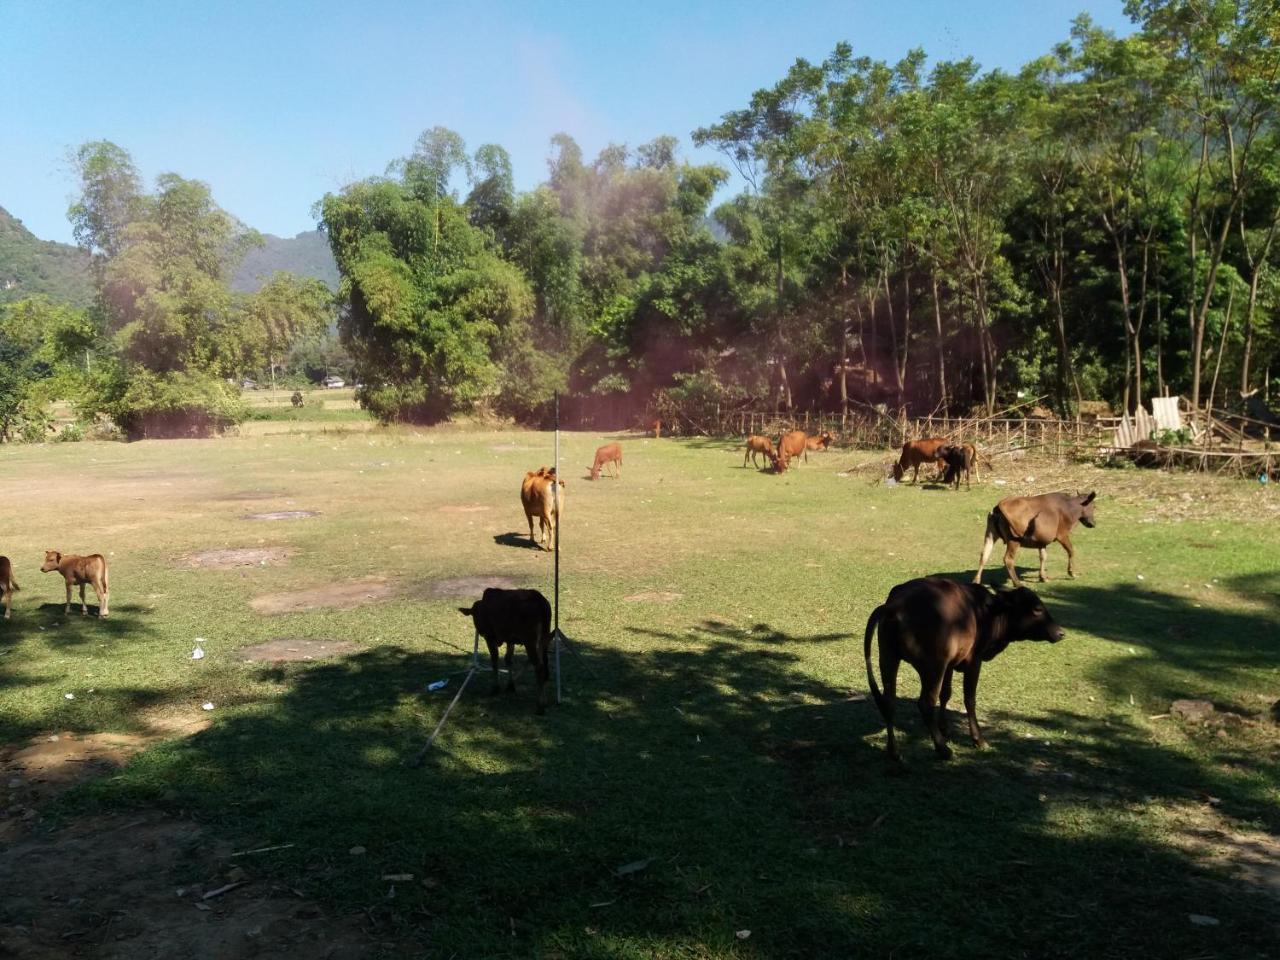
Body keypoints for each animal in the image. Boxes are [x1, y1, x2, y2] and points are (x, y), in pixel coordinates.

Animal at [458, 586, 552, 716]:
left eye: (475, 617)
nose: (480, 631)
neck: (481, 608)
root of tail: (540, 600)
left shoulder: (490, 636)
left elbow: (494, 659)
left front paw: (495, 687)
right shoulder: (510, 640)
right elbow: (508, 660)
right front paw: (510, 685)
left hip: (530, 641)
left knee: (539, 667)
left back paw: (540, 706)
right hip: (544, 638)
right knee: (545, 663)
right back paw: (545, 701)